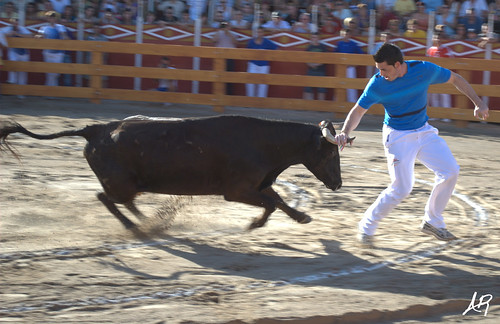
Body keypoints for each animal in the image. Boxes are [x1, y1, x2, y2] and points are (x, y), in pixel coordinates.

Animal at [0, 115, 344, 229]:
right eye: (330, 152)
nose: (339, 184)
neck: (264, 142)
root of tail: (94, 129)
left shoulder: (257, 184)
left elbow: (279, 201)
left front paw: (302, 217)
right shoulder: (236, 191)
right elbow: (272, 203)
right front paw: (253, 225)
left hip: (132, 184)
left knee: (122, 200)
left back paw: (144, 220)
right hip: (121, 184)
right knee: (106, 197)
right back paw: (135, 226)